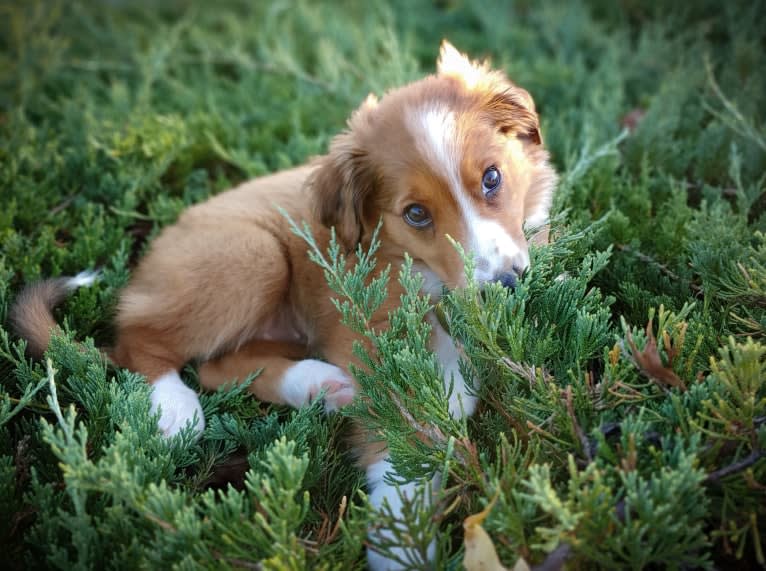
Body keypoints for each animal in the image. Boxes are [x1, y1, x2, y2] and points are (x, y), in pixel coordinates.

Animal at [10, 41, 560, 571]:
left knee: (216, 366)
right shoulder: (361, 333)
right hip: (253, 254)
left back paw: (319, 385)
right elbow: (398, 435)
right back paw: (174, 407)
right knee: (139, 343)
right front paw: (401, 542)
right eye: (417, 214)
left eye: (492, 178)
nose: (505, 284)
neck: (427, 280)